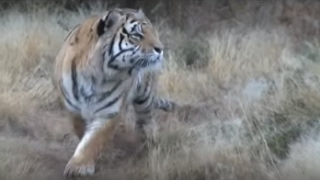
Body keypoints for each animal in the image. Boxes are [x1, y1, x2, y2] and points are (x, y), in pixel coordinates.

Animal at [53, 7, 176, 176]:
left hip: (145, 96)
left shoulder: (109, 113)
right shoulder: (73, 108)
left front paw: (80, 166)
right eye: (136, 36)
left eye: (153, 33)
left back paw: (148, 141)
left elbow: (94, 140)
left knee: (146, 120)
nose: (161, 49)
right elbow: (81, 130)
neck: (96, 75)